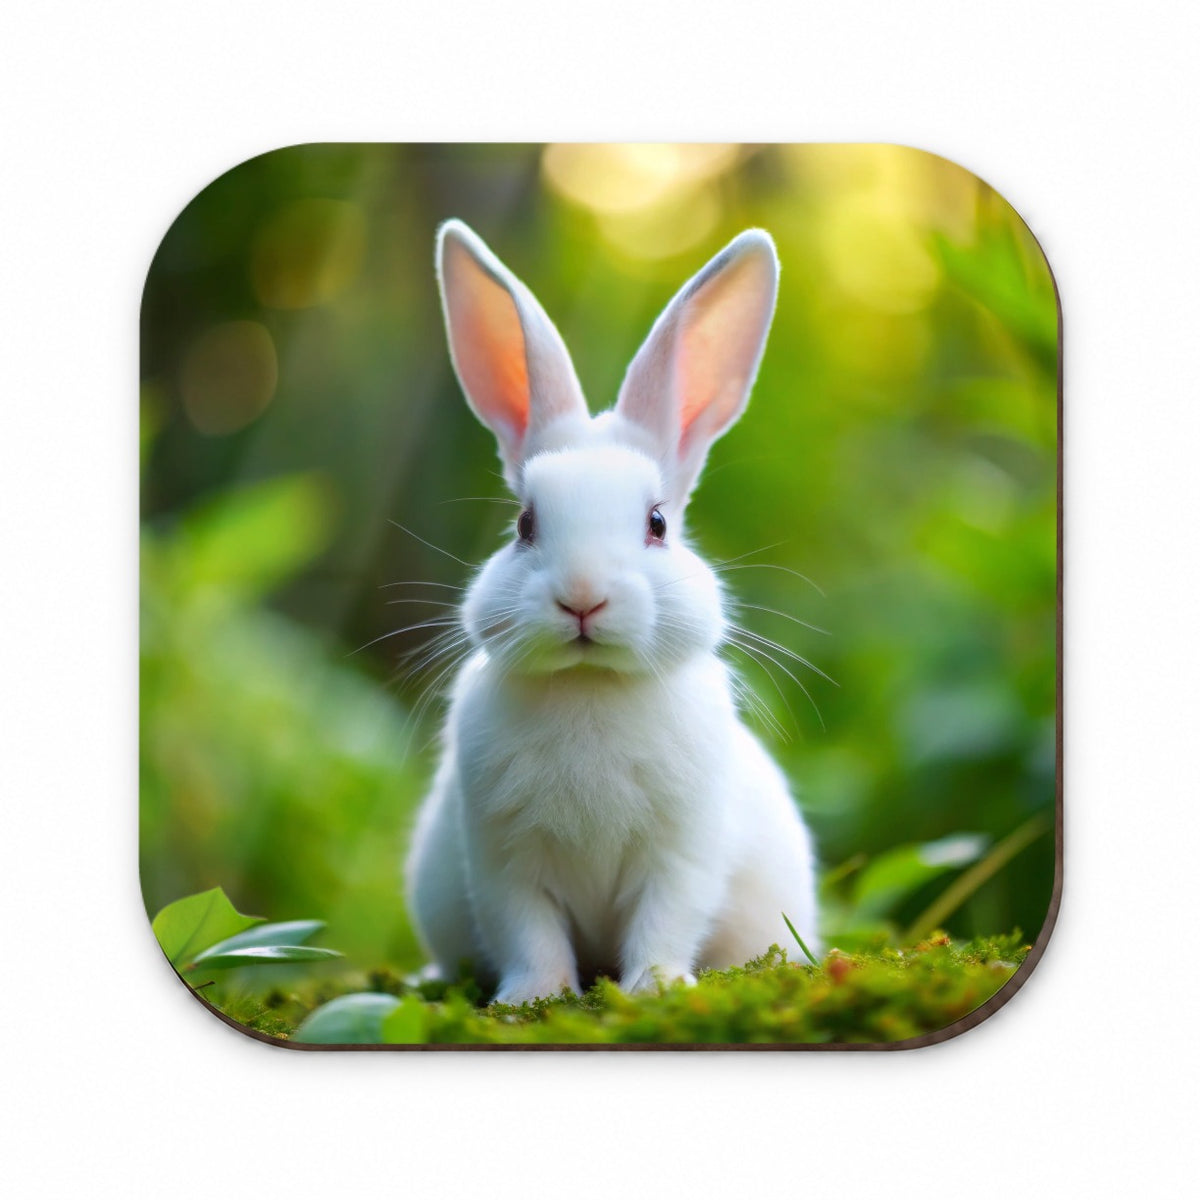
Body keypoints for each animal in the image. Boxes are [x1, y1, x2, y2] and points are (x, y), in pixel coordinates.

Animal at [405, 219, 819, 1005]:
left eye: (657, 523)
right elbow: (529, 934)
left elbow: (663, 924)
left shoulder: (680, 856)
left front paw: (656, 990)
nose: (582, 597)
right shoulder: (504, 860)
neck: (589, 686)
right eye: (524, 525)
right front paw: (532, 999)